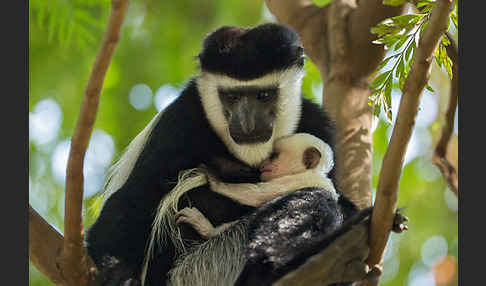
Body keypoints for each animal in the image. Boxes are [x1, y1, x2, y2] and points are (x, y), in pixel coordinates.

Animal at [175, 134, 338, 239]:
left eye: (273, 156)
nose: (262, 164)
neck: (313, 173)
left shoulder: (294, 181)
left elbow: (255, 195)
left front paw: (214, 179)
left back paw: (205, 228)